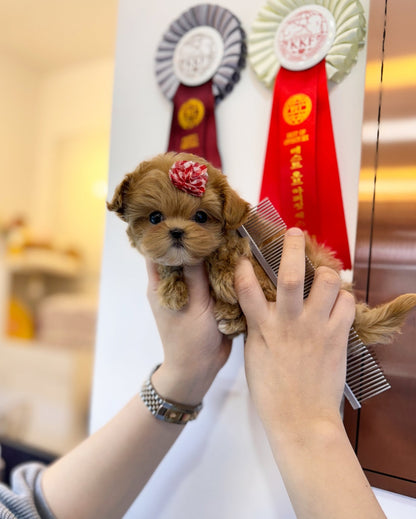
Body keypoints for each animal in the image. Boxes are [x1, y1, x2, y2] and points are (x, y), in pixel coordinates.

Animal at [108, 151, 416, 346]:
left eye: (201, 217)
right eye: (154, 218)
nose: (176, 231)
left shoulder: (245, 242)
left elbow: (226, 249)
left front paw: (223, 279)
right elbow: (169, 264)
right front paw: (172, 288)